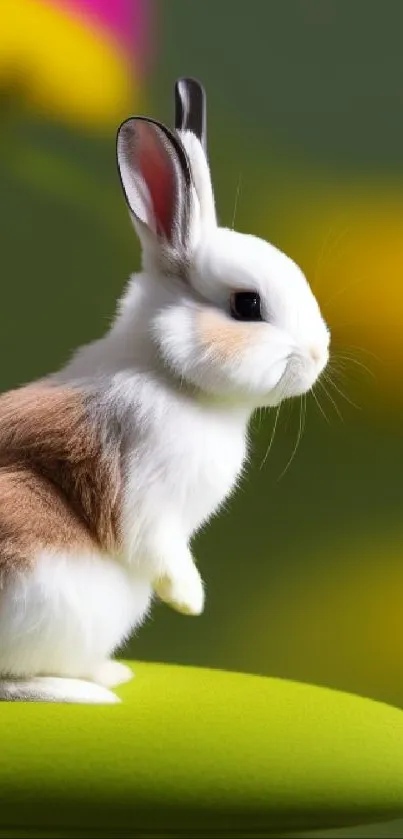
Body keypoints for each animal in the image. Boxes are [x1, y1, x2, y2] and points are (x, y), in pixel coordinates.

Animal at [0, 77, 330, 704]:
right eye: (247, 305)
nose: (320, 356)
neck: (170, 377)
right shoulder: (146, 491)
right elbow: (157, 545)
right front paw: (191, 601)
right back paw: (82, 690)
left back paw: (106, 674)